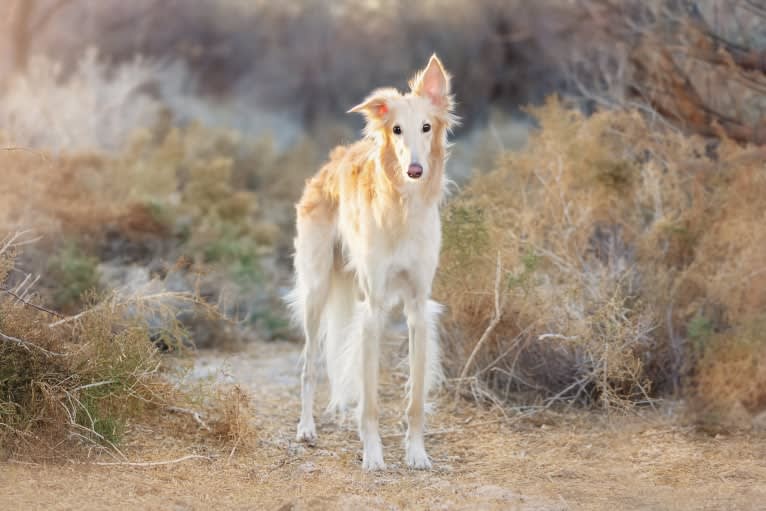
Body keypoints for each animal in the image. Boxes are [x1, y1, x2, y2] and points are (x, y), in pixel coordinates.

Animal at [286, 56, 456, 472]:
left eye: (426, 127)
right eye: (396, 129)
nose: (415, 171)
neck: (404, 208)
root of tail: (328, 165)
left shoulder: (418, 307)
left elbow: (415, 399)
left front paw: (416, 453)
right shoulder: (373, 308)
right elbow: (372, 401)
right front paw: (374, 455)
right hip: (317, 289)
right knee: (309, 364)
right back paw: (306, 428)